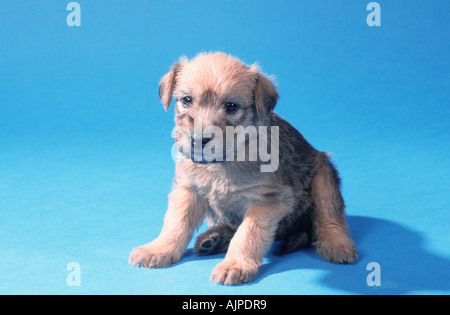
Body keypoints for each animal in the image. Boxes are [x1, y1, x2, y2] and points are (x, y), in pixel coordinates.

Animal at [128, 52, 356, 286]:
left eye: (231, 106)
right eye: (186, 100)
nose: (200, 140)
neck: (222, 162)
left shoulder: (266, 201)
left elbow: (247, 234)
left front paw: (235, 265)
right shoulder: (187, 190)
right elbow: (176, 223)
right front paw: (159, 249)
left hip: (323, 175)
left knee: (330, 217)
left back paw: (338, 244)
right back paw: (214, 238)